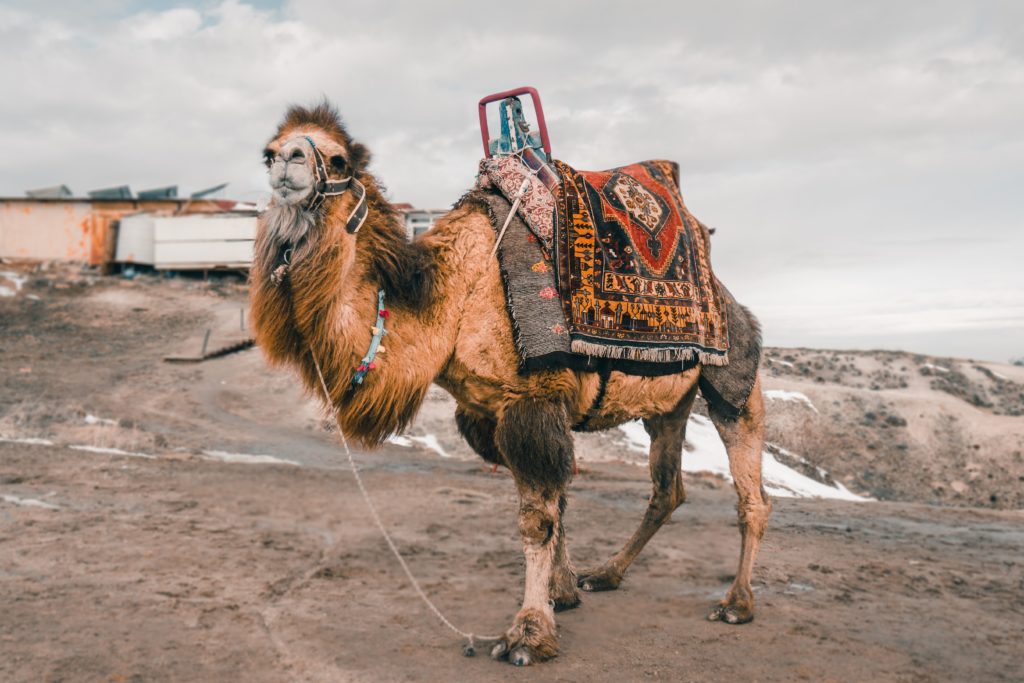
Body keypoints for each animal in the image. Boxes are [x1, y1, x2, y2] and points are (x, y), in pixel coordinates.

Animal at [251, 102, 770, 667]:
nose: (288, 159)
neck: (454, 297)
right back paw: (606, 574)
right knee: (666, 488)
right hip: (667, 406)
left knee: (750, 489)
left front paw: (528, 634)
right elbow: (557, 503)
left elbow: (537, 519)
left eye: (339, 158)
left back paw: (737, 603)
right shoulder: (487, 414)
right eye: (268, 152)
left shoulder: (531, 401)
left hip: (734, 378)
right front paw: (562, 593)